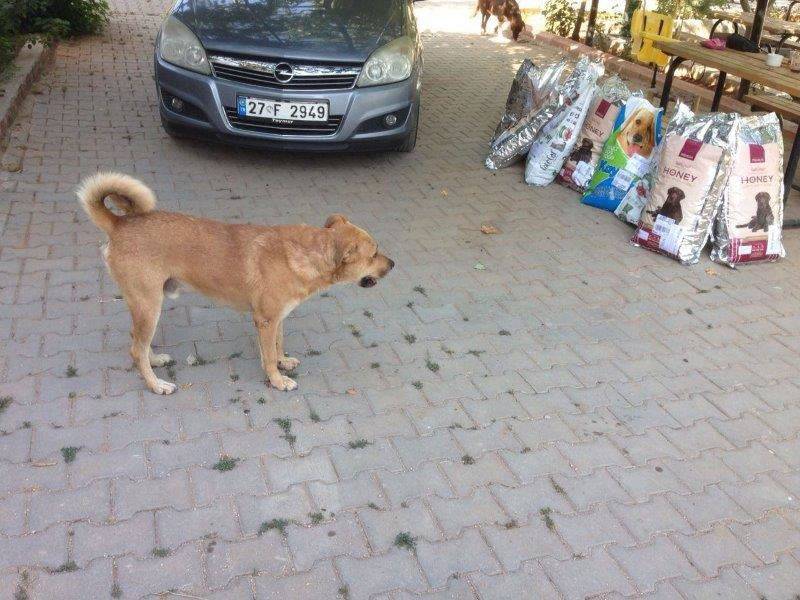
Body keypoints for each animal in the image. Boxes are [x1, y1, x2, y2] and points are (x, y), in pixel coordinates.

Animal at [76, 173, 396, 396]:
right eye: (374, 253)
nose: (393, 265)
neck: (306, 253)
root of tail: (119, 224)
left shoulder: (277, 318)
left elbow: (277, 346)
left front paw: (283, 361)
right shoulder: (265, 320)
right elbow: (268, 356)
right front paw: (277, 381)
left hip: (146, 306)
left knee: (137, 342)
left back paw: (155, 361)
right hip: (148, 305)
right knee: (135, 350)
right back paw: (156, 385)